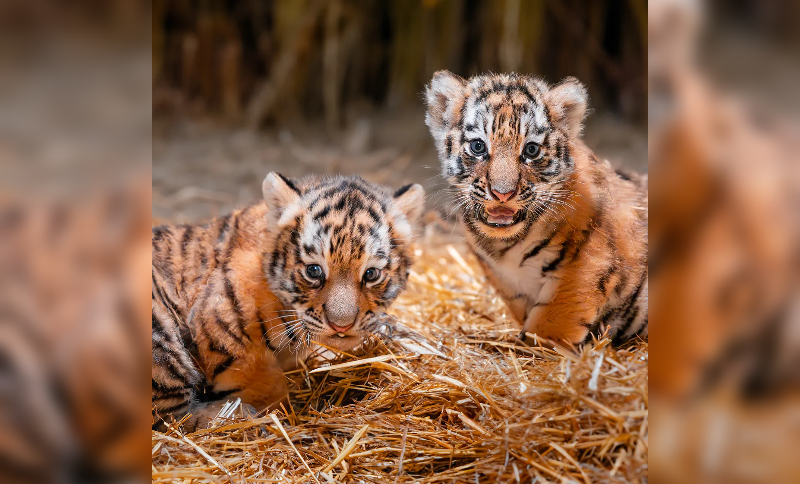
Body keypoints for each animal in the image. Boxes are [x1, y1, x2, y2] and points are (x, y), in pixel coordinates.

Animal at [151, 173, 424, 429]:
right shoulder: (222, 328)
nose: (341, 326)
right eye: (314, 271)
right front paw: (265, 413)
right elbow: (268, 385)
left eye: (371, 274)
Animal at [424, 71, 648, 346]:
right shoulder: (505, 281)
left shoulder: (588, 263)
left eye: (531, 150)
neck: (504, 246)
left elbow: (549, 321)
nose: (502, 193)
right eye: (478, 146)